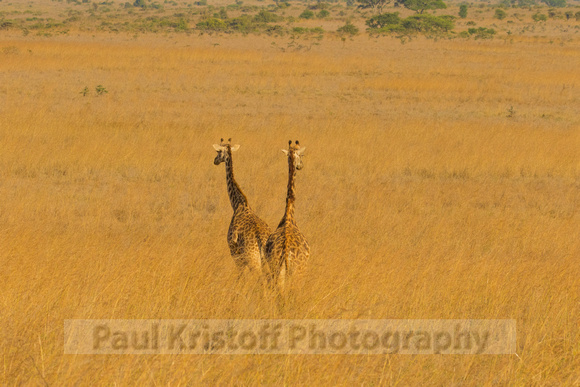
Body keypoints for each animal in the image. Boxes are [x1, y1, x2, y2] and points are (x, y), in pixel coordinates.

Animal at [213, 138, 272, 278]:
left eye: (218, 151)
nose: (215, 161)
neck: (238, 204)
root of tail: (262, 240)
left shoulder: (234, 253)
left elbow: (240, 277)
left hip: (253, 260)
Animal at [266, 141, 310, 296]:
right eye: (302, 154)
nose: (301, 165)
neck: (289, 214)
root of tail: (285, 253)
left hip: (276, 272)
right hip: (297, 274)